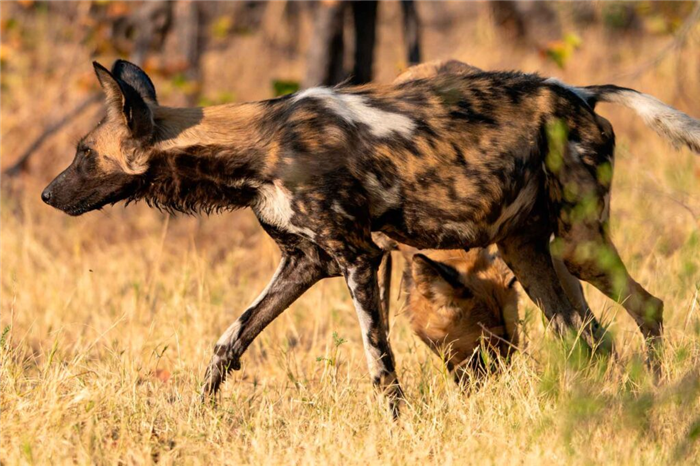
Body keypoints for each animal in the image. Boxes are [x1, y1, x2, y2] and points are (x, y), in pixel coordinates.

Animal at [42, 59, 696, 416]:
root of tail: (580, 92)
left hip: (578, 249)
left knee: (647, 307)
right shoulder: (306, 262)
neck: (258, 148)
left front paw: (399, 426)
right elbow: (230, 341)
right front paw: (198, 412)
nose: (48, 195)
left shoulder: (360, 258)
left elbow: (381, 364)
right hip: (527, 250)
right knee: (586, 336)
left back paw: (651, 395)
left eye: (82, 154)